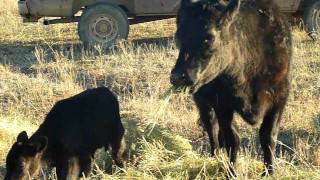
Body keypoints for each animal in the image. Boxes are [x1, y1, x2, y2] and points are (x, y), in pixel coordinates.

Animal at [171, 0, 292, 176]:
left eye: (209, 38)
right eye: (178, 37)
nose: (177, 77)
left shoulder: (280, 97)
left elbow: (268, 136)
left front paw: (269, 172)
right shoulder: (222, 102)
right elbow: (233, 139)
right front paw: (231, 172)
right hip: (202, 100)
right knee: (211, 126)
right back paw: (215, 155)